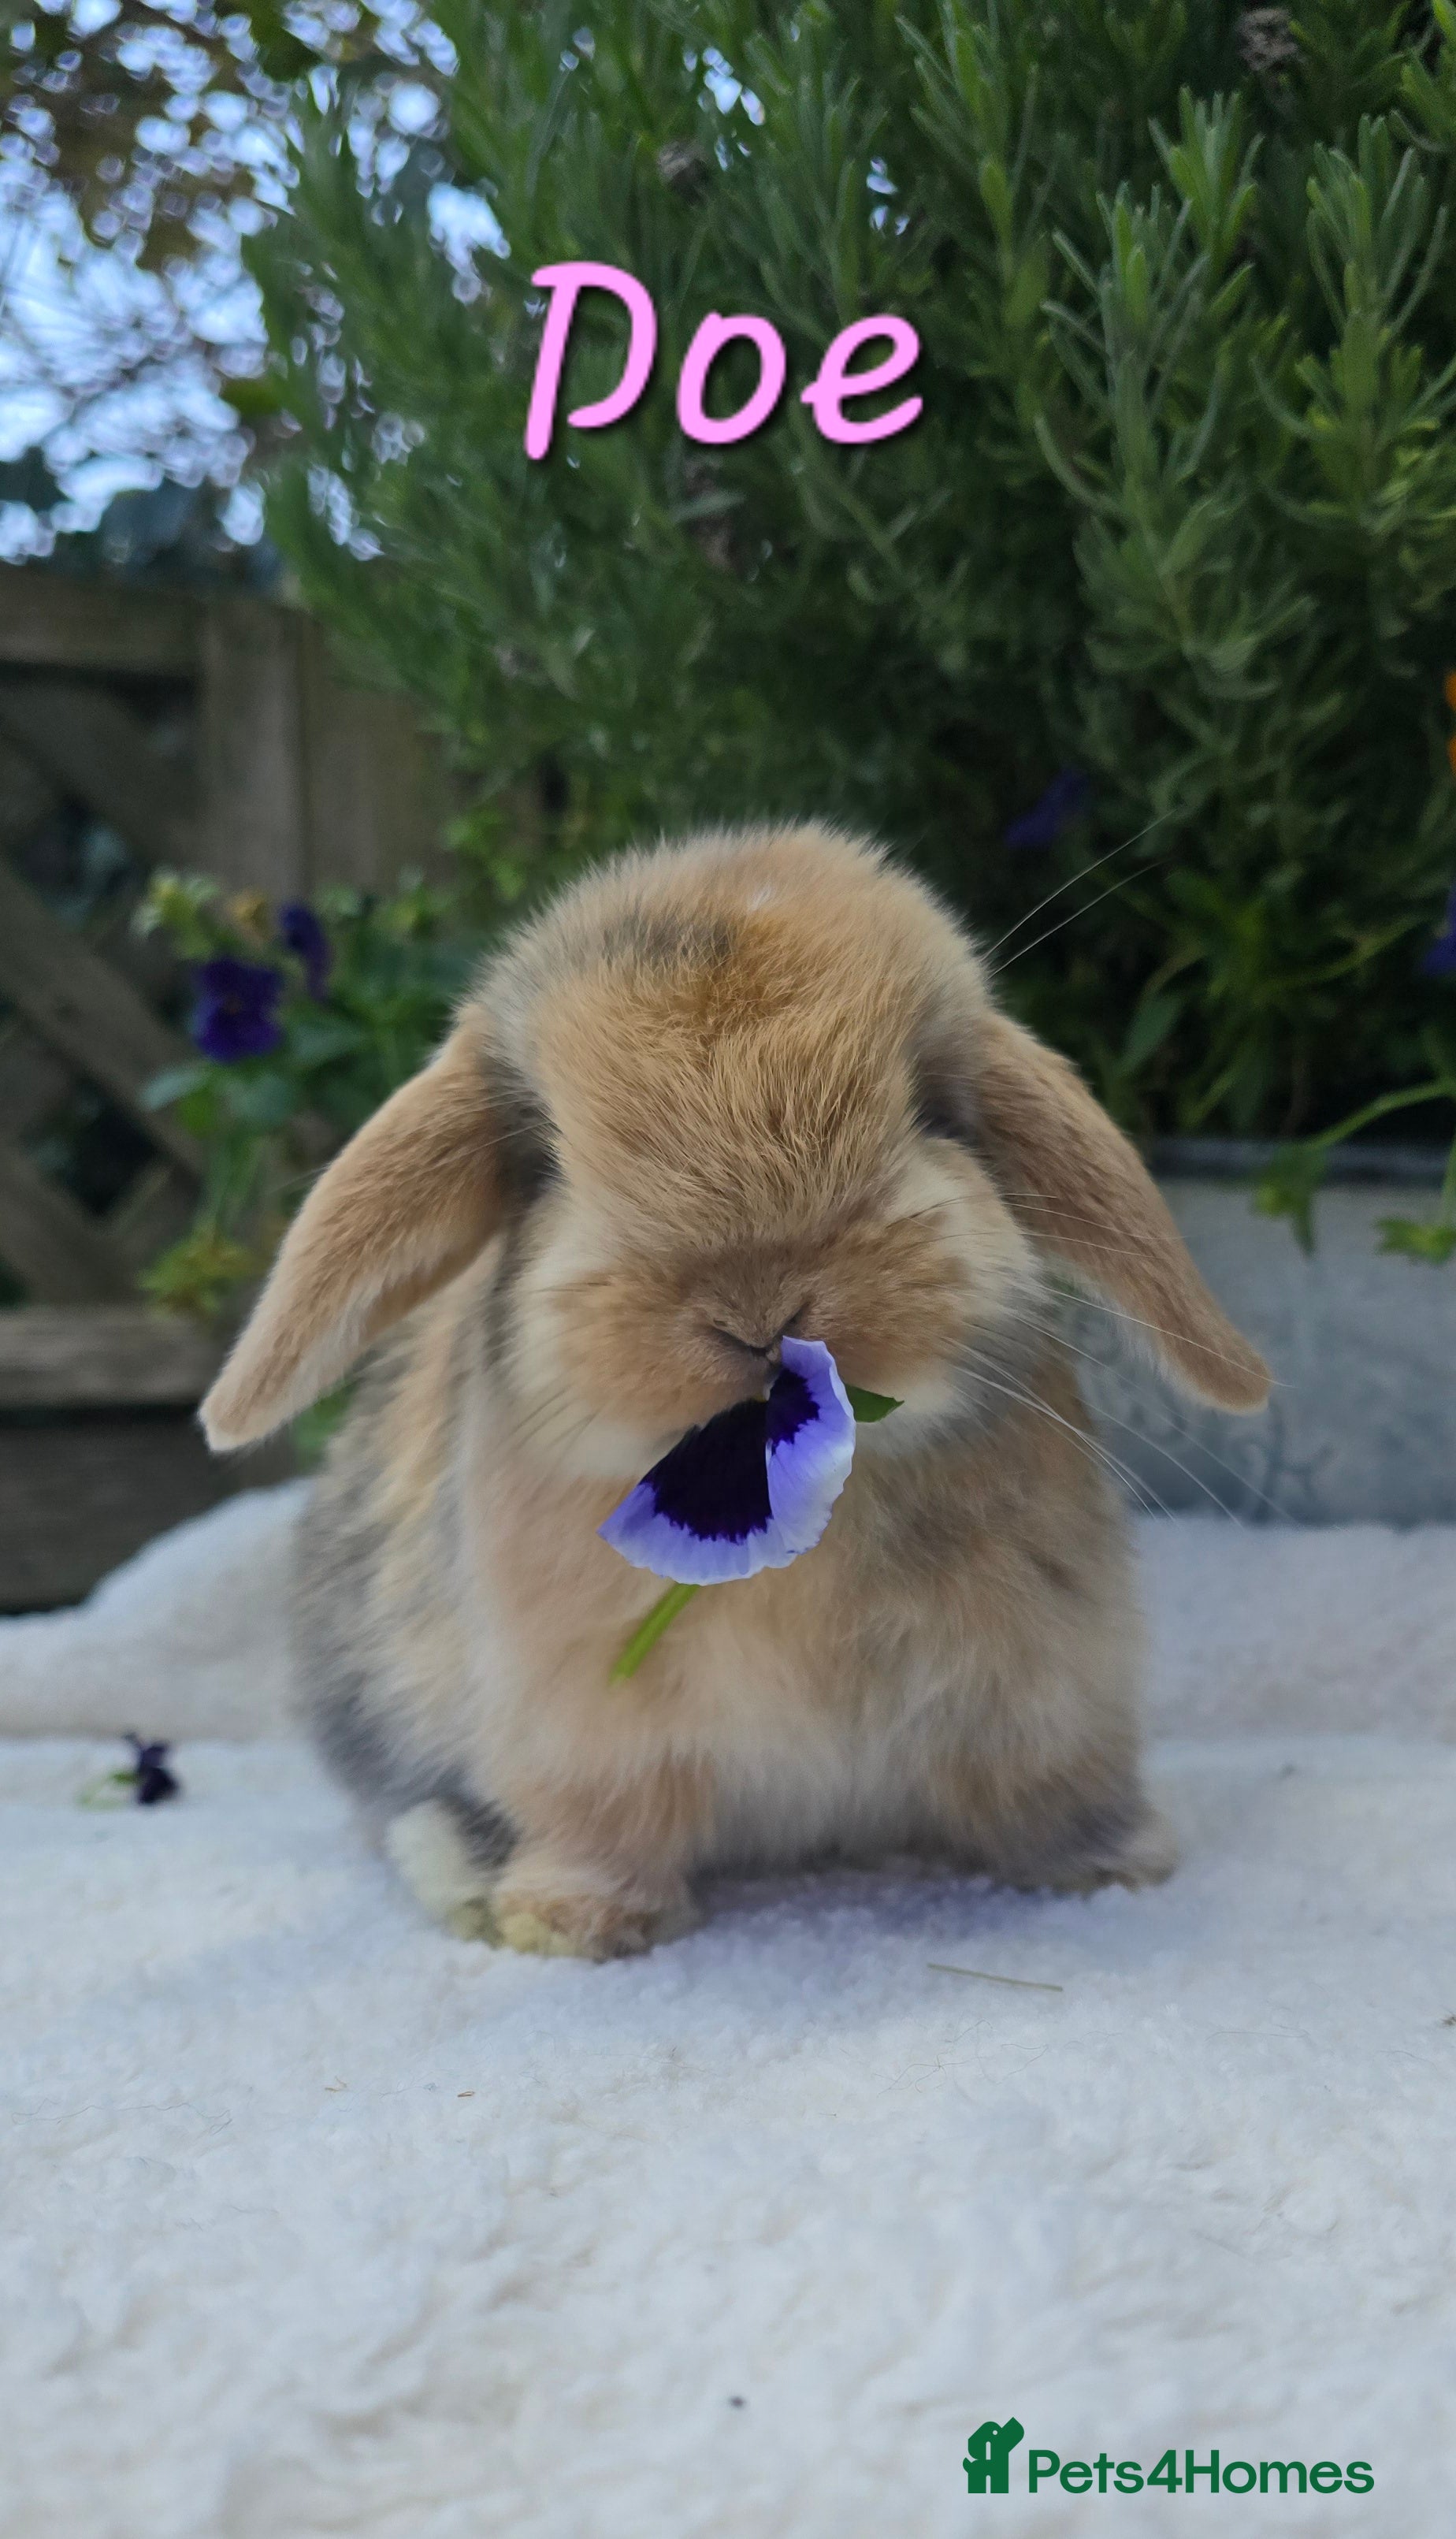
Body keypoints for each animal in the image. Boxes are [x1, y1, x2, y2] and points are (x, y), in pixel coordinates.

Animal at [201, 824, 1270, 1959]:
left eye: (936, 1109)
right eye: (544, 1158)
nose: (758, 1301)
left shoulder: (1043, 1690)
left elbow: (1044, 1789)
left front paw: (1114, 1866)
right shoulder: (586, 1730)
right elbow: (607, 1821)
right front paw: (575, 1922)